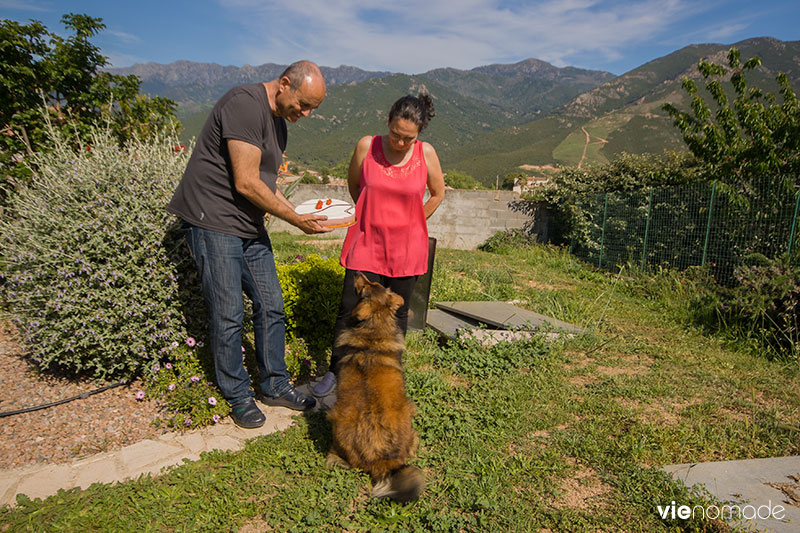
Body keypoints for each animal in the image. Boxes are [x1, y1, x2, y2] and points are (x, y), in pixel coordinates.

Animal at [324, 272, 424, 500]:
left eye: (366, 288)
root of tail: (382, 461)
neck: (373, 337)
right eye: (374, 283)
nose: (358, 273)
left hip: (336, 419)